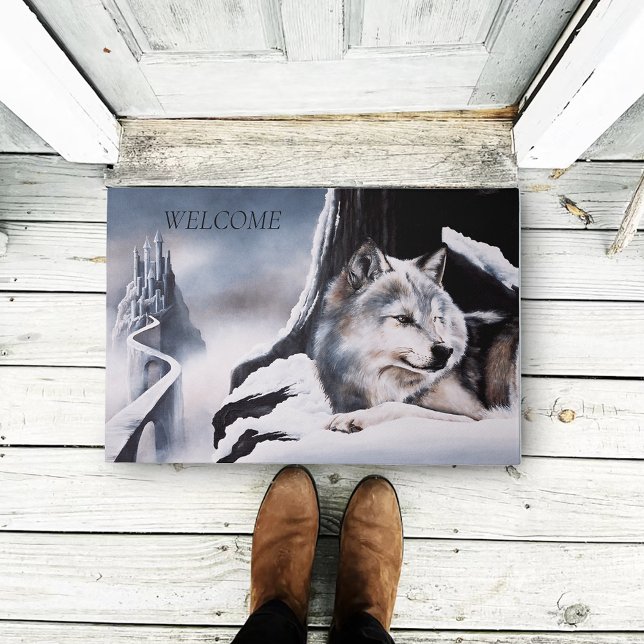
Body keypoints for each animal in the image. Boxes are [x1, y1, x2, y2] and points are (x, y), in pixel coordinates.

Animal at [313, 238, 518, 433]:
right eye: (403, 318)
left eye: (435, 318)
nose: (445, 351)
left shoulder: (474, 417)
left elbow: (398, 407)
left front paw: (353, 418)